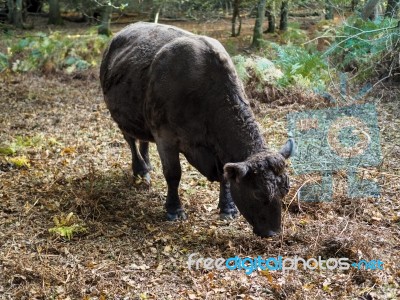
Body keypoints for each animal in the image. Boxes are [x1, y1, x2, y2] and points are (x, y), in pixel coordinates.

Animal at [100, 21, 294, 237]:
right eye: (258, 193)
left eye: (286, 189)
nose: (273, 232)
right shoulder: (165, 137)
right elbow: (173, 174)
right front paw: (174, 210)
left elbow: (225, 176)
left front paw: (227, 208)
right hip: (121, 116)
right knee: (131, 141)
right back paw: (141, 170)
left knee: (143, 140)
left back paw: (148, 166)